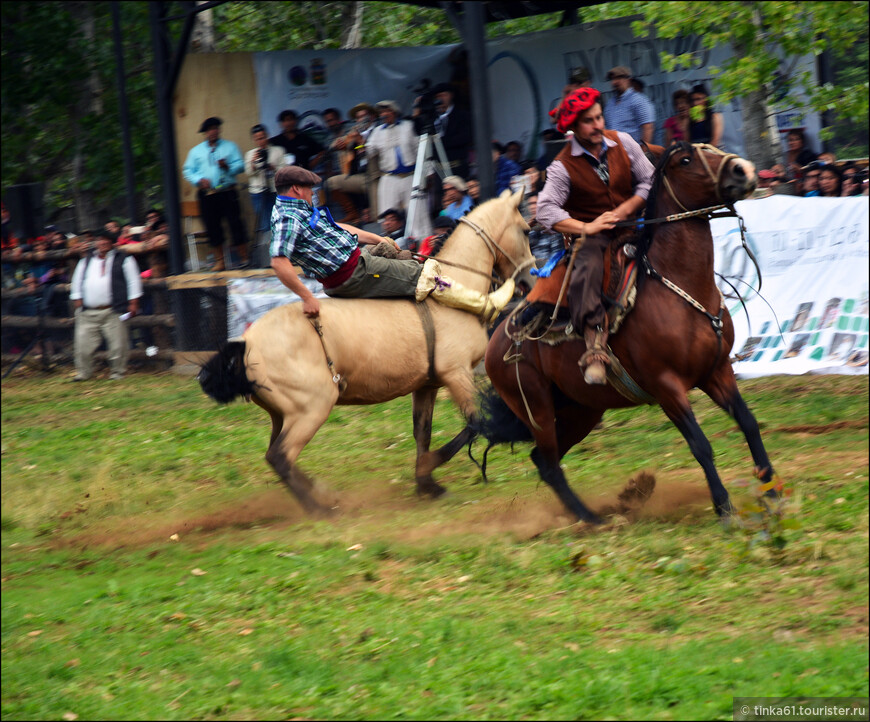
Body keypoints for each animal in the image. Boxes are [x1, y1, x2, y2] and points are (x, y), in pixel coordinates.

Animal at [200, 186, 536, 512]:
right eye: (526, 229)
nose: (532, 280)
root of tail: (247, 343)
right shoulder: (457, 373)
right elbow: (475, 423)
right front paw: (427, 472)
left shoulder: (427, 384)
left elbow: (423, 433)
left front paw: (428, 485)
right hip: (312, 407)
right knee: (281, 456)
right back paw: (321, 508)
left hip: (281, 413)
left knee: (275, 454)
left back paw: (324, 497)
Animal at [484, 142, 776, 524]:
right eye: (686, 160)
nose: (743, 170)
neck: (678, 285)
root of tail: (495, 340)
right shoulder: (666, 387)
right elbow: (700, 445)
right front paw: (724, 508)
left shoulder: (717, 371)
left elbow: (749, 422)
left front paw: (771, 491)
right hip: (538, 408)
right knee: (548, 463)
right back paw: (591, 520)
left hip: (582, 411)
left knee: (544, 459)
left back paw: (590, 515)